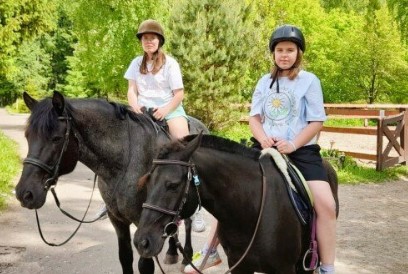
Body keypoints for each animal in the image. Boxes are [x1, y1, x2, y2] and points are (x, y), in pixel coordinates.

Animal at [14, 92, 209, 274]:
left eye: (56, 138)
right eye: (27, 136)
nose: (25, 193)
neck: (125, 162)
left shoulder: (143, 224)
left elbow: (145, 265)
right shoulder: (118, 220)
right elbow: (125, 258)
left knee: (188, 222)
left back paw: (186, 255)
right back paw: (172, 252)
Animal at [133, 133, 338, 274]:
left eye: (173, 185)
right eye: (147, 182)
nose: (141, 242)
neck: (252, 213)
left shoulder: (285, 269)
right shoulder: (239, 266)